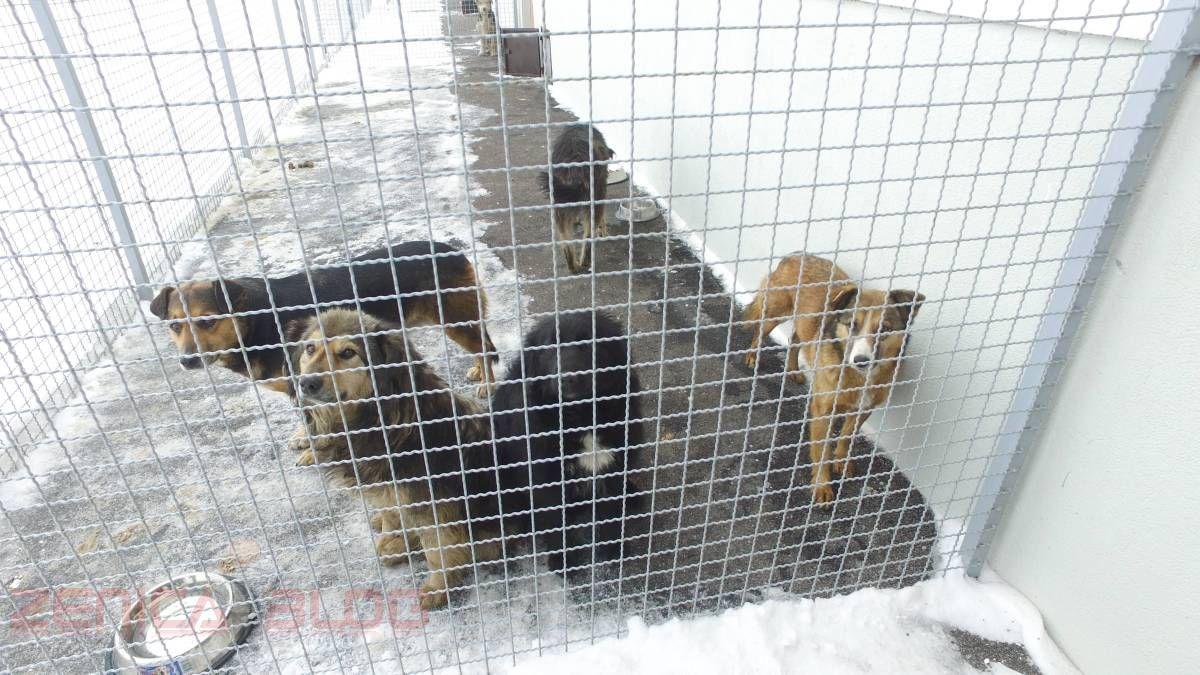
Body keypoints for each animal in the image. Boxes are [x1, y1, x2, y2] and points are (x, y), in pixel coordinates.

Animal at [148, 239, 496, 391]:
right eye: (175, 325)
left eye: (208, 321)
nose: (187, 361)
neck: (254, 323)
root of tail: (451, 249)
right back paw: (479, 373)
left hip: (456, 319)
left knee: (484, 347)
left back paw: (488, 386)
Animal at [289, 307, 501, 607]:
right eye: (310, 348)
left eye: (348, 353)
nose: (307, 383)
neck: (382, 418)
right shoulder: (387, 490)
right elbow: (392, 521)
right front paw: (395, 542)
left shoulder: (433, 504)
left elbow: (437, 550)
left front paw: (439, 588)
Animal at [492, 309, 648, 571]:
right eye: (549, 345)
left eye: (588, 342)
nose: (567, 378)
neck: (580, 416)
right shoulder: (545, 479)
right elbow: (556, 523)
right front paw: (563, 561)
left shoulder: (612, 467)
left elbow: (612, 515)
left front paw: (613, 550)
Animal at [537, 123, 614, 273]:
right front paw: (603, 231)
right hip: (595, 197)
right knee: (588, 238)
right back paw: (584, 263)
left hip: (559, 205)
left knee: (567, 243)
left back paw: (574, 267)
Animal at [739, 253, 926, 504]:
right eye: (852, 324)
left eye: (884, 329)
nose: (861, 360)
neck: (857, 378)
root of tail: (795, 255)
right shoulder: (822, 410)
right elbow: (821, 450)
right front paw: (822, 485)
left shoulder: (864, 408)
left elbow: (846, 436)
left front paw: (842, 461)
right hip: (778, 309)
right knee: (760, 331)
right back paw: (752, 356)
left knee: (796, 339)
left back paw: (794, 370)